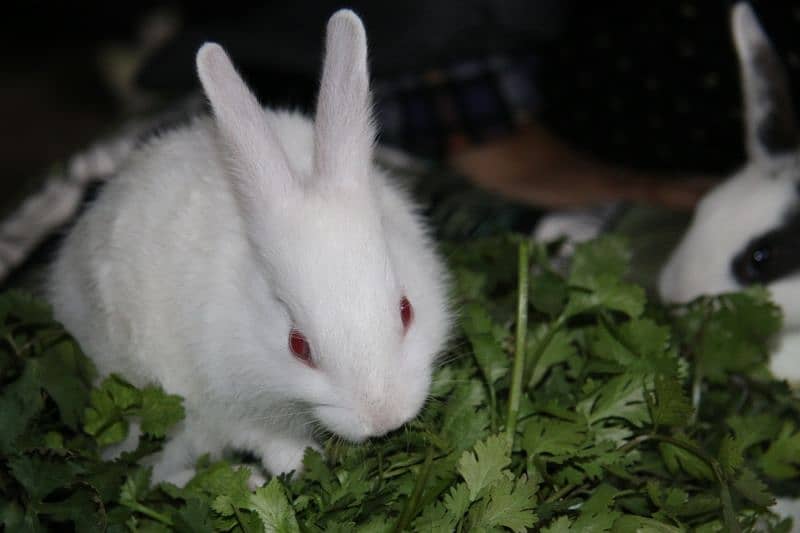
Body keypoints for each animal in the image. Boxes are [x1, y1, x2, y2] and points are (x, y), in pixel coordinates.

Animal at [48, 9, 450, 482]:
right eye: (298, 346)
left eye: (406, 311)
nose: (382, 417)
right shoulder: (230, 404)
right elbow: (268, 442)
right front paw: (295, 465)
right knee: (154, 474)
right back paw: (248, 480)